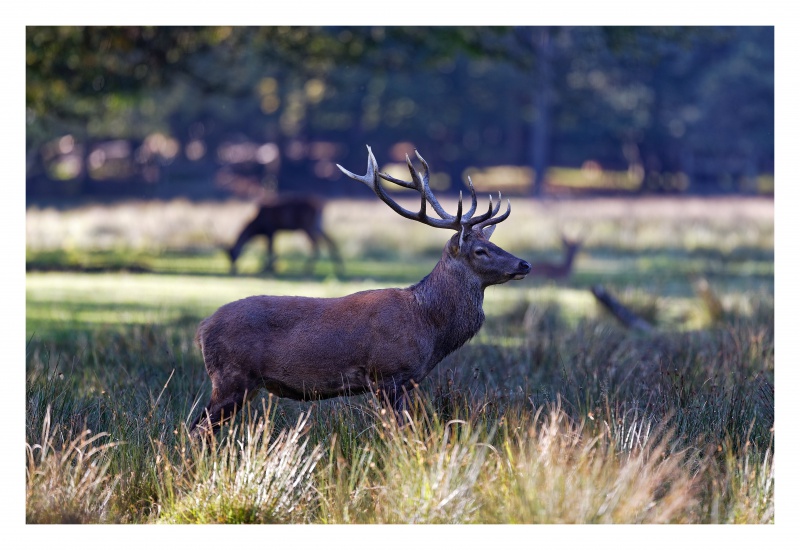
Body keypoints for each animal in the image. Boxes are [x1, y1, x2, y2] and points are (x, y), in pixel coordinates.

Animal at [189, 146, 532, 436]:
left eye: (491, 243)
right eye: (480, 251)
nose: (525, 263)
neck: (429, 326)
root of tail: (202, 328)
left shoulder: (406, 383)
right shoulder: (387, 375)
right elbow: (399, 434)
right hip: (231, 377)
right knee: (197, 430)